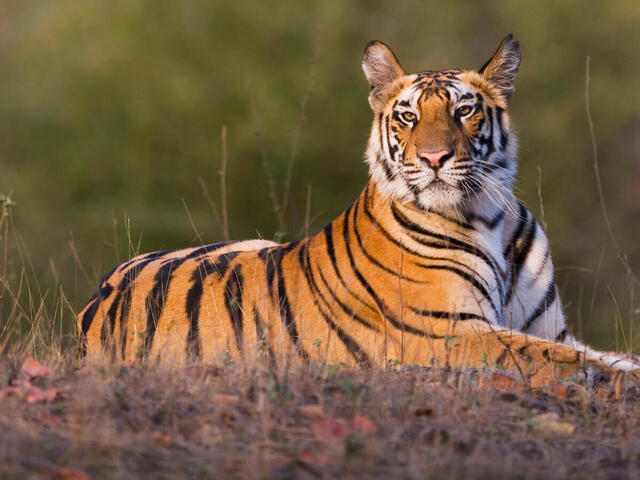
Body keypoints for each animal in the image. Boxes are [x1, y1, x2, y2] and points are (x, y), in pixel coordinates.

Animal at [77, 34, 636, 382]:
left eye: (464, 110)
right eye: (408, 116)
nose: (434, 158)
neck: (489, 218)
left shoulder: (548, 326)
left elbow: (588, 350)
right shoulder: (449, 331)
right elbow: (557, 358)